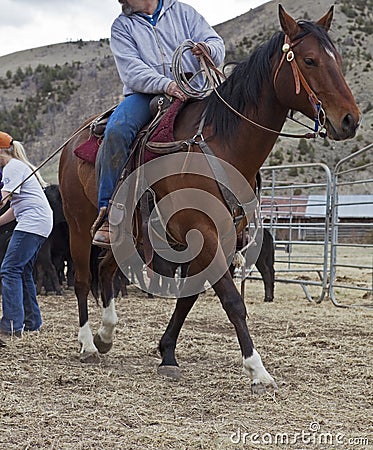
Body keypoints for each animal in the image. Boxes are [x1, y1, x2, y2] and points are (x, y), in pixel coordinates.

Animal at [59, 7, 358, 394]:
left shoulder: (221, 237)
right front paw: (257, 370)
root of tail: (72, 141)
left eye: (338, 60)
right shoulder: (202, 233)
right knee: (83, 279)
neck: (222, 147)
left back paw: (106, 334)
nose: (350, 120)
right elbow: (232, 299)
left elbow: (190, 296)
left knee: (108, 269)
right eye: (309, 60)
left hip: (131, 234)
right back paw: (87, 344)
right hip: (79, 225)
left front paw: (167, 354)